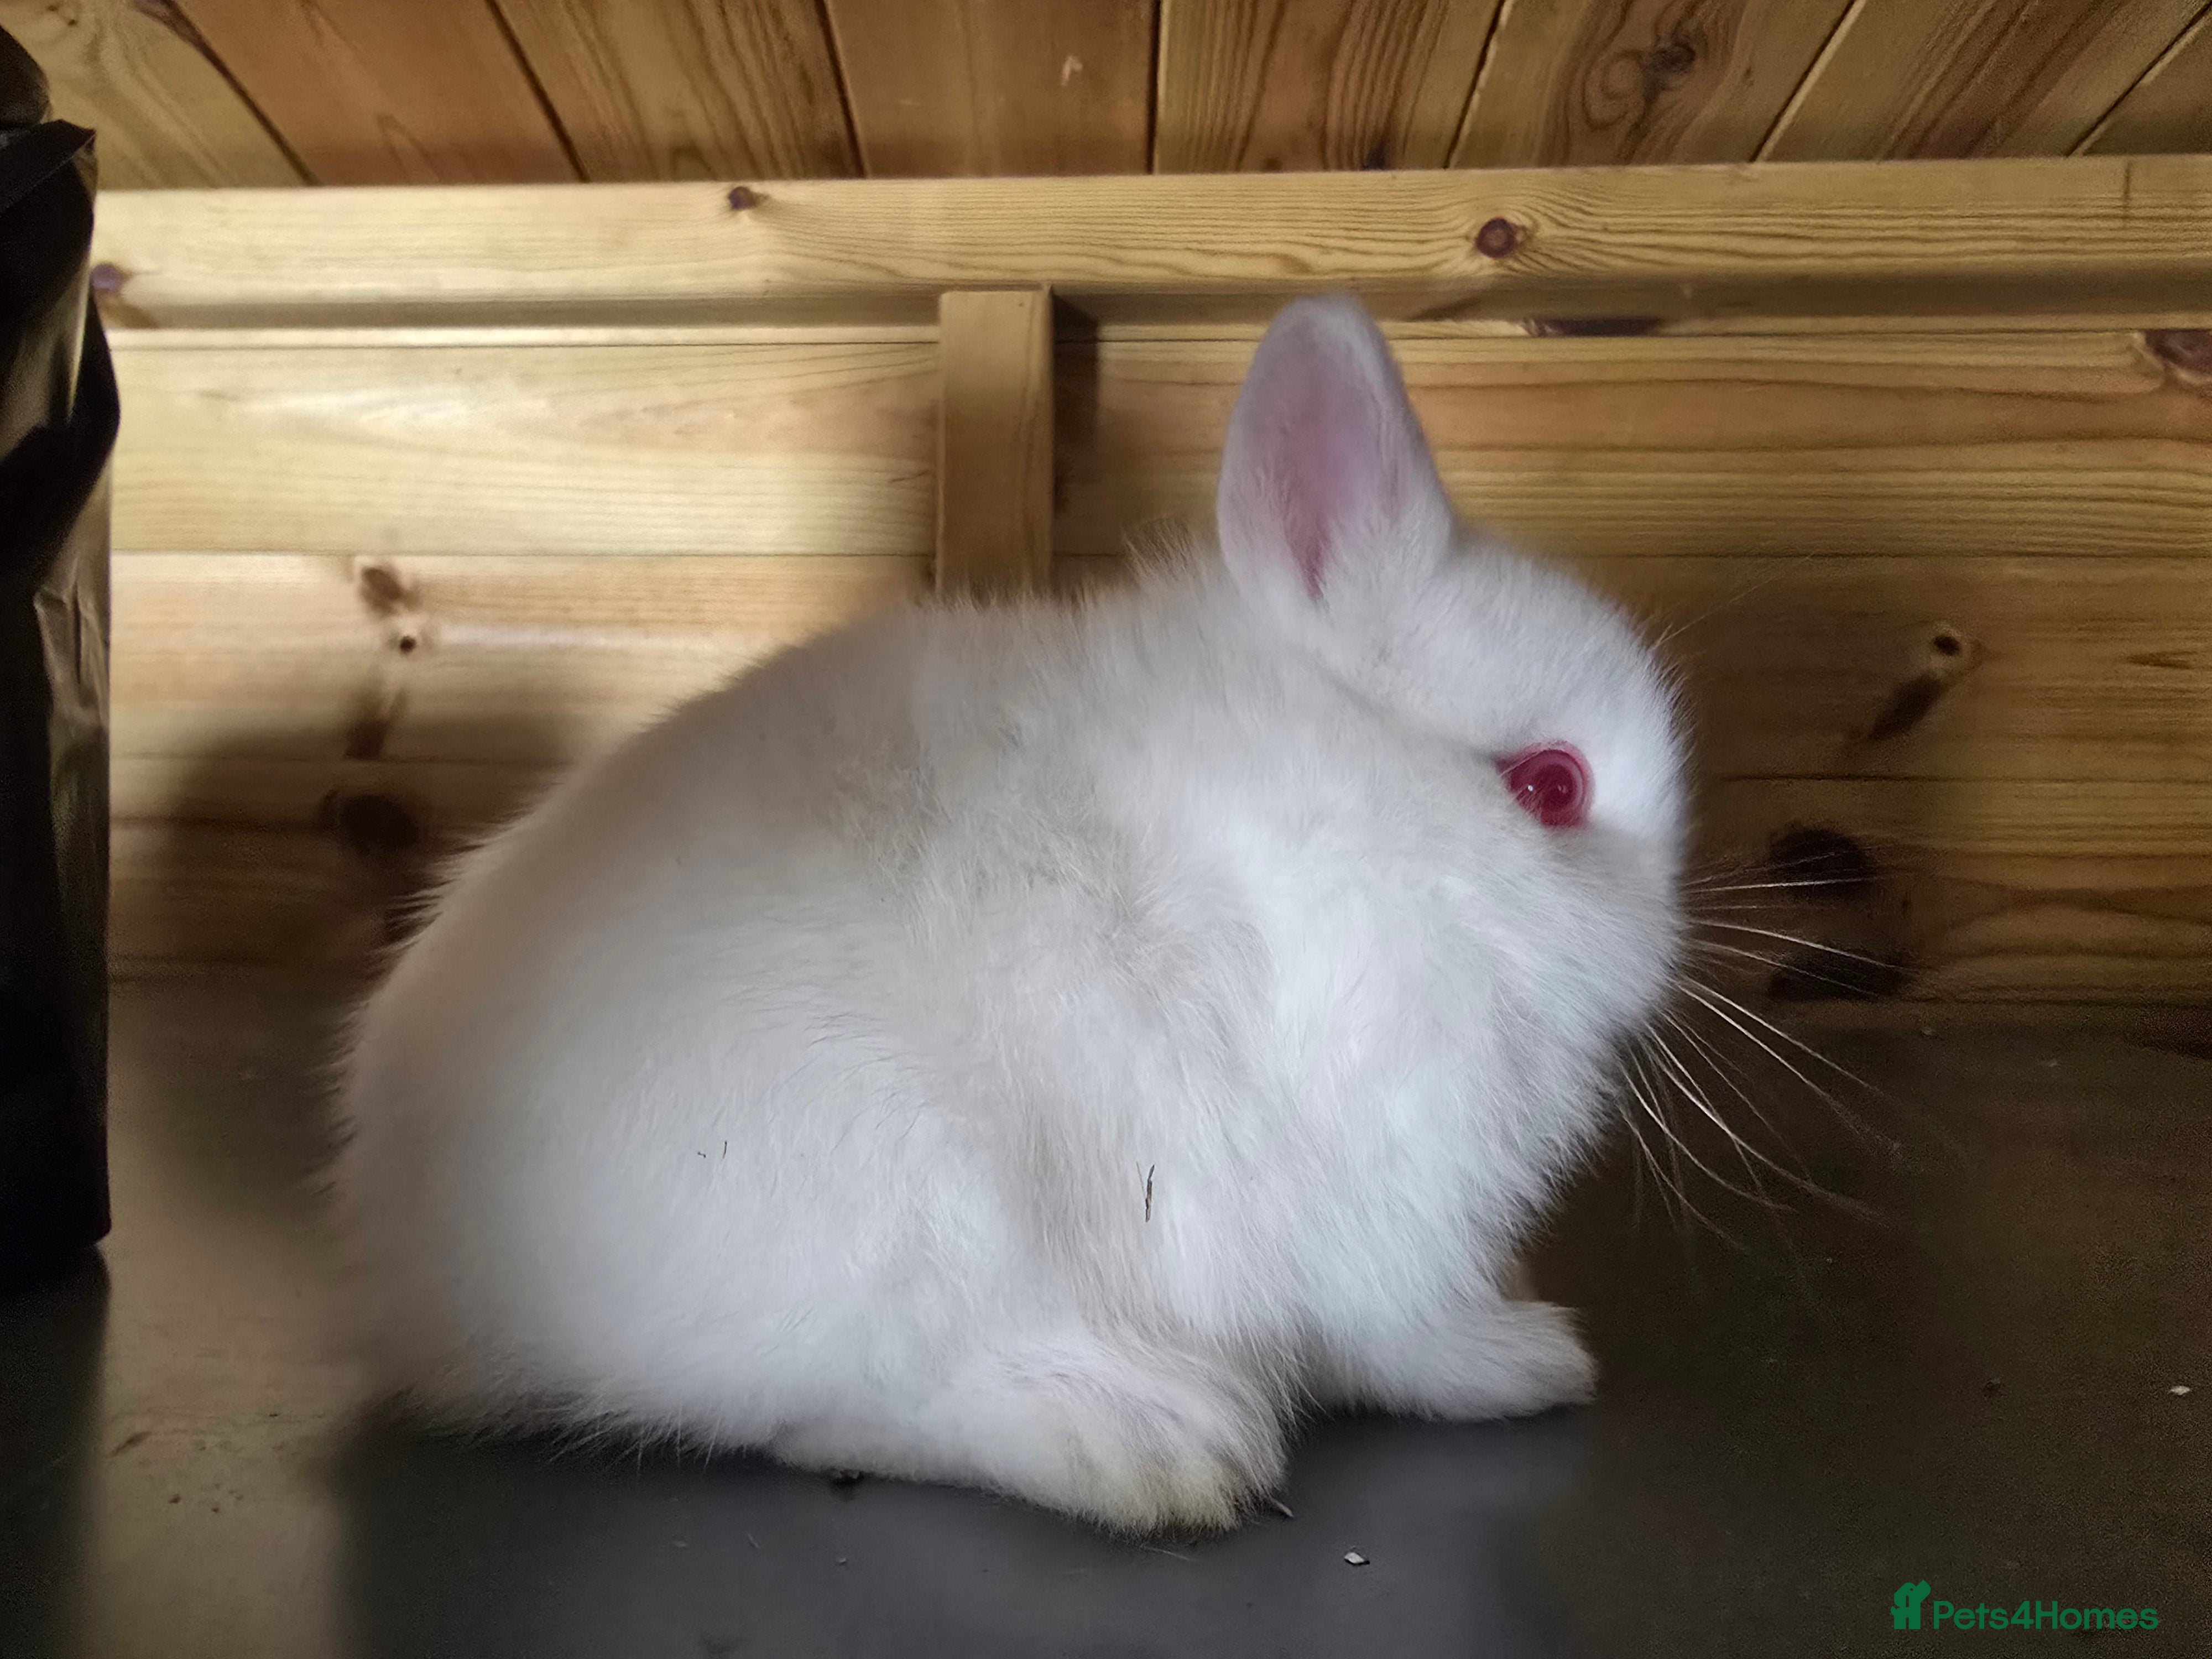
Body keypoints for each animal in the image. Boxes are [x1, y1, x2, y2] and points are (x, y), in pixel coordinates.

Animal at [332, 295, 1688, 1535]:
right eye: (1551, 786)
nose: (1660, 951)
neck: (1345, 824)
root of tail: (417, 1280)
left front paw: (1527, 1348)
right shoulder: (1363, 1188)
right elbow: (1394, 1330)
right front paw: (1525, 1361)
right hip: (898, 1198)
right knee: (848, 1405)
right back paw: (1156, 1440)